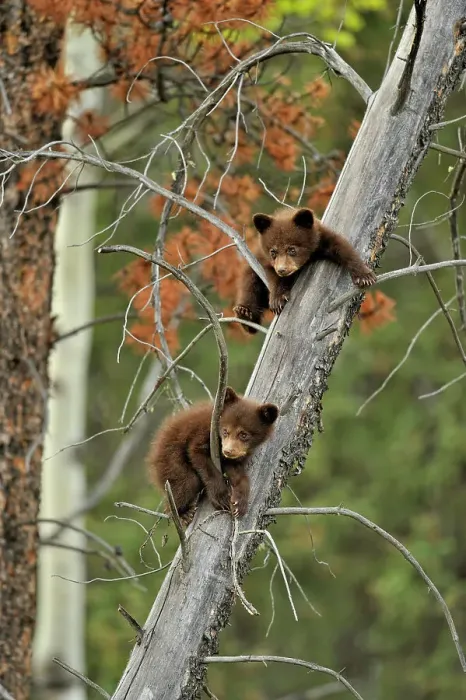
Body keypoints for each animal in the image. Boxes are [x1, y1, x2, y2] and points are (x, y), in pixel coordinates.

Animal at [146, 386, 279, 523]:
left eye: (243, 434)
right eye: (225, 431)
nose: (228, 451)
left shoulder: (232, 458)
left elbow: (237, 473)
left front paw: (240, 503)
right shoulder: (205, 431)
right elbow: (198, 454)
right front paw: (221, 498)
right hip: (170, 459)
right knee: (187, 482)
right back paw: (182, 514)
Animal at [233, 206, 376, 333]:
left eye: (292, 249)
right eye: (273, 251)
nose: (282, 269)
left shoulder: (321, 238)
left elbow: (342, 247)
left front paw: (365, 276)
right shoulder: (265, 260)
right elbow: (272, 276)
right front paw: (277, 299)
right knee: (249, 285)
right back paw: (245, 314)